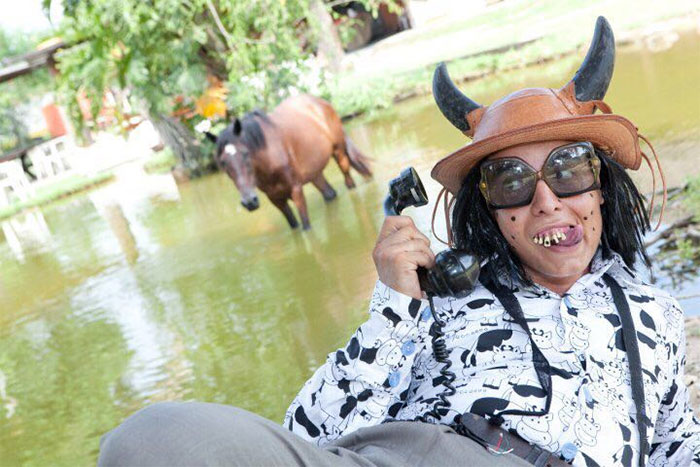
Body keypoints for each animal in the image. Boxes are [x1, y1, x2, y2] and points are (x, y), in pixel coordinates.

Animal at [206, 94, 372, 230]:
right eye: (223, 163)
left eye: (246, 154)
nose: (249, 202)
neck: (270, 157)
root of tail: (321, 102)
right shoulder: (275, 199)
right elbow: (294, 225)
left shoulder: (296, 190)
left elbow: (306, 226)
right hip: (314, 173)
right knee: (329, 193)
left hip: (339, 154)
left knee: (348, 181)